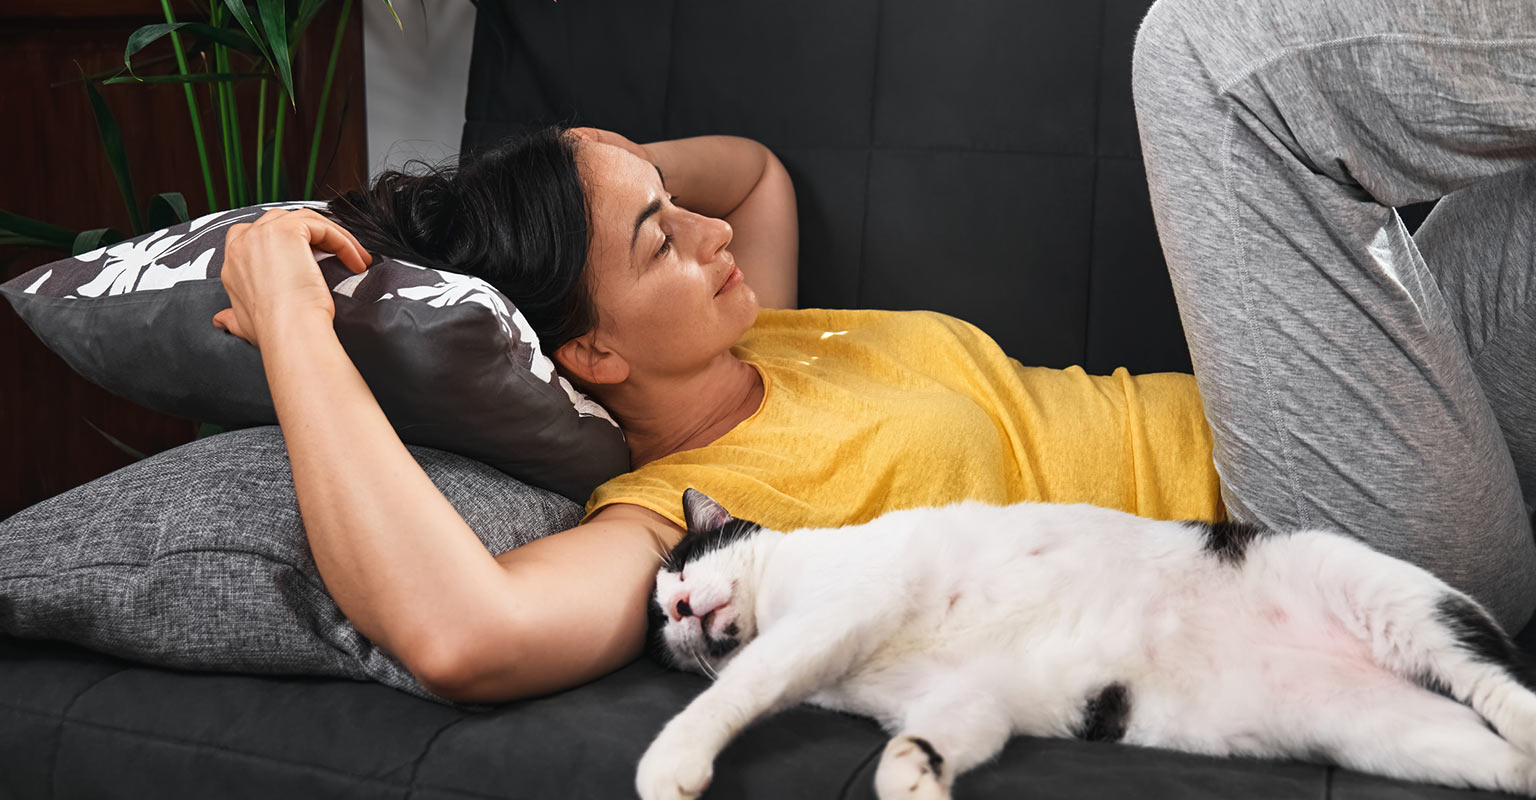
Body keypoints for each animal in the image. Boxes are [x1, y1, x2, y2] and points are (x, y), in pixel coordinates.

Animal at [632, 485, 1536, 798]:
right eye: (664, 625)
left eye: (683, 565)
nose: (675, 609)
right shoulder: (963, 697)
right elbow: (930, 741)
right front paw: (913, 777)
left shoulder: (839, 610)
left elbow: (742, 686)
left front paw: (672, 760)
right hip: (1391, 735)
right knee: (1501, 760)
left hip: (1394, 600)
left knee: (1500, 685)